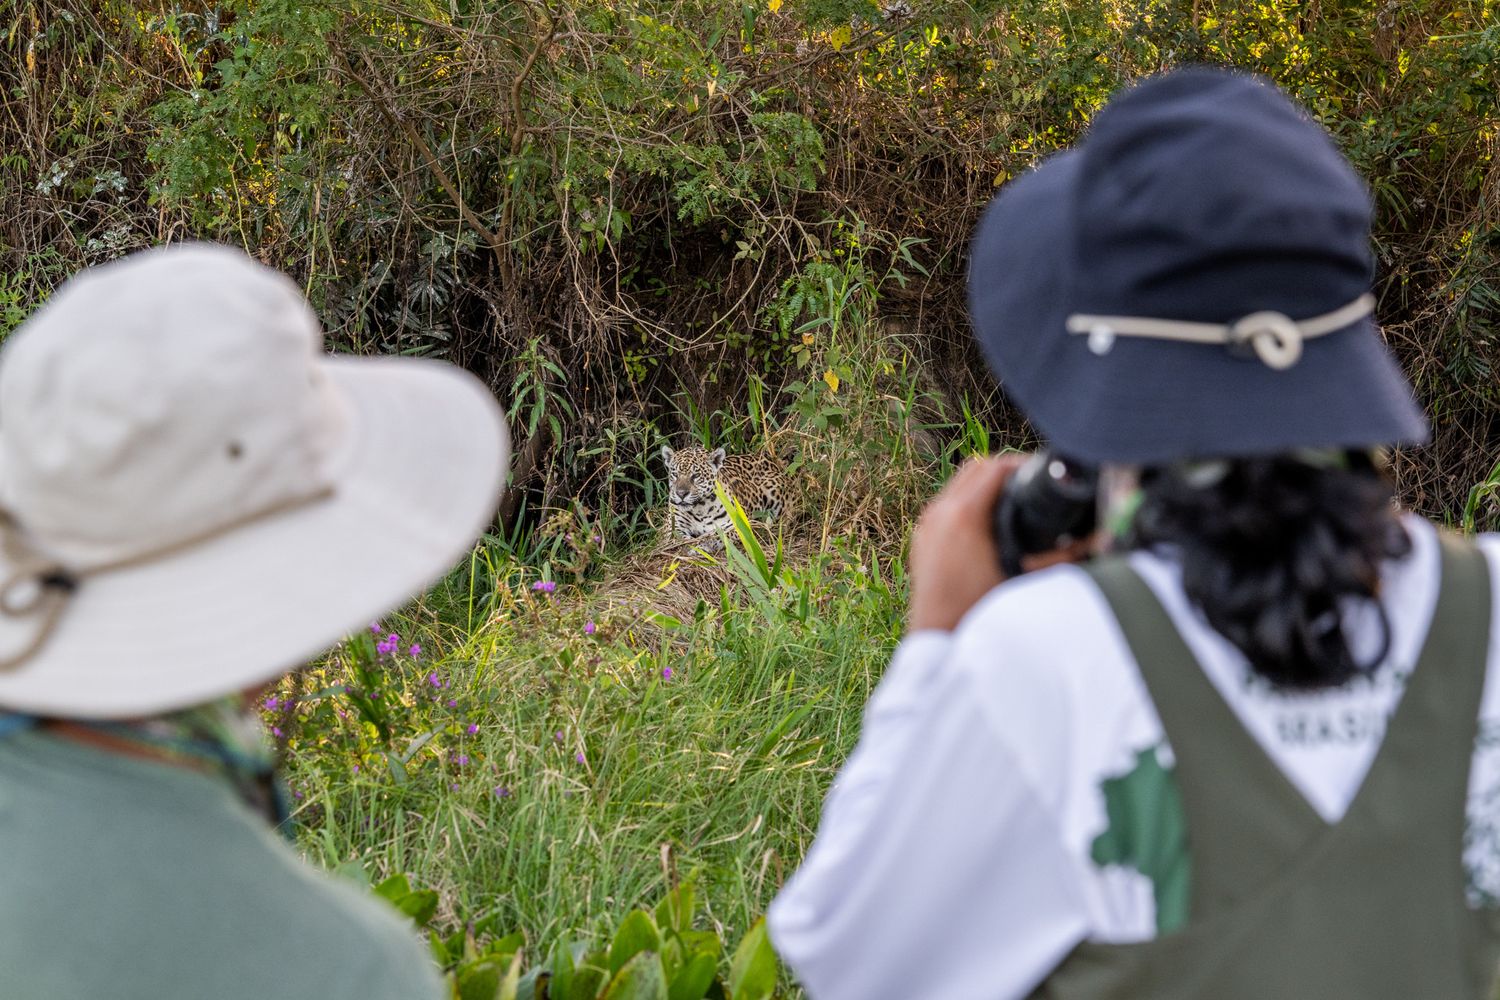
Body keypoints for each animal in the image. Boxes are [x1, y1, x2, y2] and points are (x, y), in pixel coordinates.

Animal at [659, 444, 788, 541]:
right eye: (675, 474)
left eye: (696, 475)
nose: (681, 494)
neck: (700, 509)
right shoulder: (672, 528)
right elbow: (678, 539)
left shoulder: (738, 524)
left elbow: (721, 533)